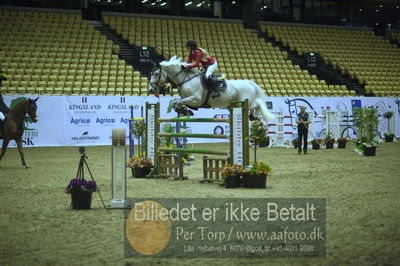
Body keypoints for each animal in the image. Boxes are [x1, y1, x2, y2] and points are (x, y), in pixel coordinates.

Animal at [147, 57, 276, 121]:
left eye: (156, 74)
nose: (150, 90)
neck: (186, 79)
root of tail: (250, 83)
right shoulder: (187, 99)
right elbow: (175, 102)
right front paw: (183, 111)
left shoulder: (195, 100)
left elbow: (179, 102)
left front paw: (182, 110)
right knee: (255, 106)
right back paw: (253, 117)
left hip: (245, 102)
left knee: (257, 105)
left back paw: (254, 117)